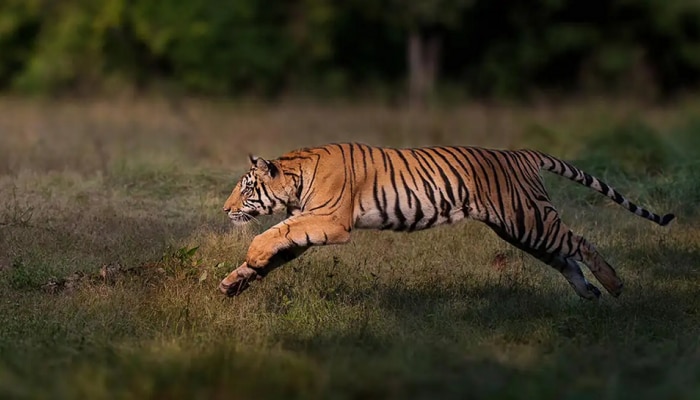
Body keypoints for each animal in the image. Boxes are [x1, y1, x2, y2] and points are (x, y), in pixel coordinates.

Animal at [219, 142, 672, 298]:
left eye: (246, 189)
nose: (224, 209)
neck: (295, 178)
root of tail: (521, 153)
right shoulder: (310, 223)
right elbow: (277, 246)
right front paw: (235, 281)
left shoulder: (329, 222)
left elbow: (273, 234)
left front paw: (250, 258)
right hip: (523, 230)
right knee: (565, 257)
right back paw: (588, 293)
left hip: (529, 220)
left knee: (581, 243)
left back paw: (613, 285)